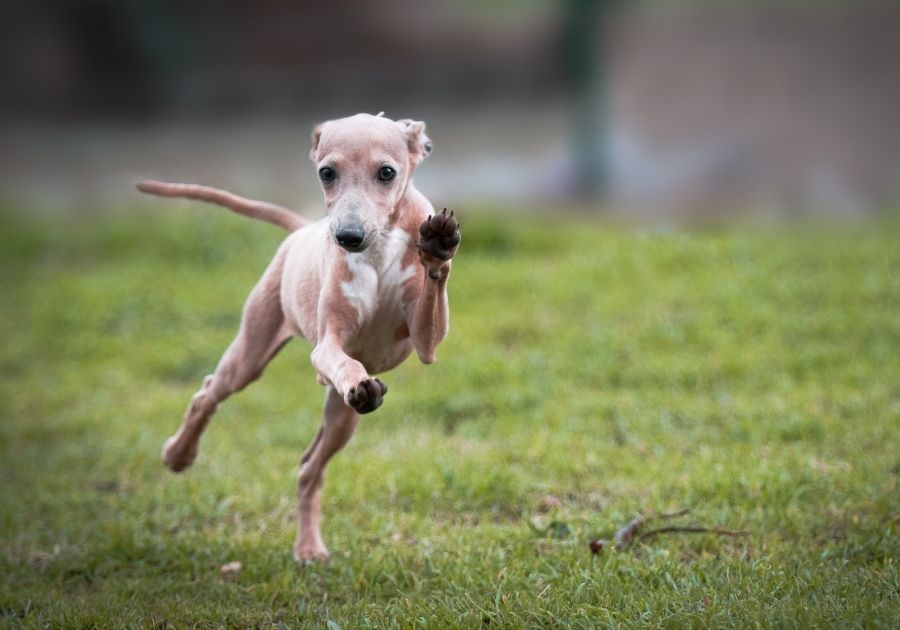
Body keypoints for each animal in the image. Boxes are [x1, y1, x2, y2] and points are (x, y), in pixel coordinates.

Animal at [137, 112, 460, 564]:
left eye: (387, 172)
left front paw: (437, 246)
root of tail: (302, 230)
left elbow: (433, 298)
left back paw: (308, 546)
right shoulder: (327, 346)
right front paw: (356, 378)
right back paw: (178, 455)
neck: (379, 248)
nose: (347, 237)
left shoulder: (426, 342)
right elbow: (340, 359)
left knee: (311, 467)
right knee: (208, 393)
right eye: (326, 172)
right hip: (252, 353)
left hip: (341, 418)